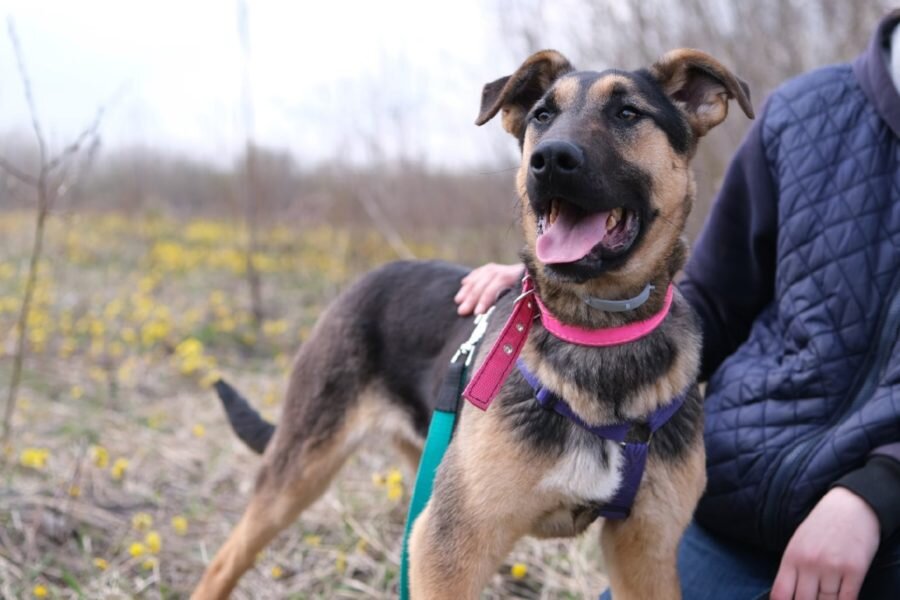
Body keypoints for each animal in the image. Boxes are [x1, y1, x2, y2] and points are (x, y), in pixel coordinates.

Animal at [192, 48, 752, 600]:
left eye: (628, 113)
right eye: (541, 116)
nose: (550, 159)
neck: (596, 330)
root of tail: (370, 275)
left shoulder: (646, 550)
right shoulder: (451, 543)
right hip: (300, 471)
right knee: (224, 561)